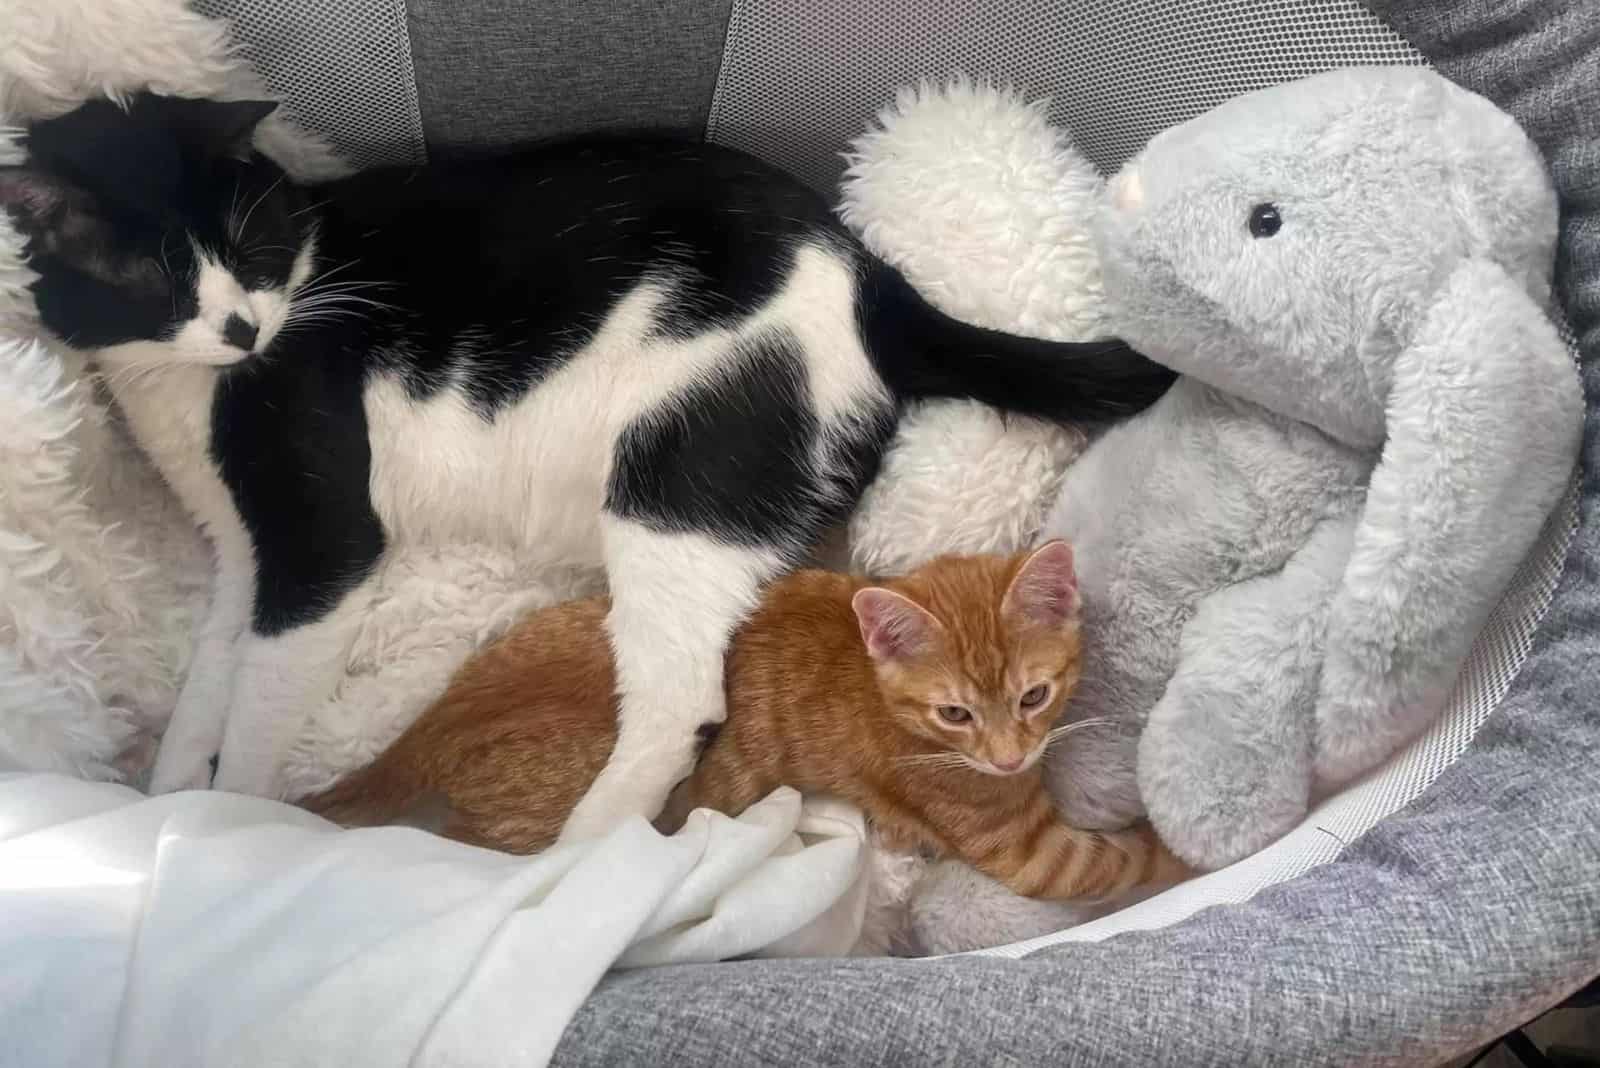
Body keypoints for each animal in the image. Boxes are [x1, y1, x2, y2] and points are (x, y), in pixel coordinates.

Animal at [0, 93, 1177, 831]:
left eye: (250, 248)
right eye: (151, 281)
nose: (245, 329)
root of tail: (871, 280)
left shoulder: (322, 548)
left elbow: (254, 708)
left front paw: (221, 821)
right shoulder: (245, 553)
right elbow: (211, 676)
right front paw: (166, 792)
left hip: (674, 482)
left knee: (678, 704)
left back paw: (577, 864)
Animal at [308, 543, 1190, 901]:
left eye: (1033, 698)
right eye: (955, 714)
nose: (1009, 760)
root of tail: (439, 722)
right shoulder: (1032, 852)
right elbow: (1121, 863)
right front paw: (1191, 861)